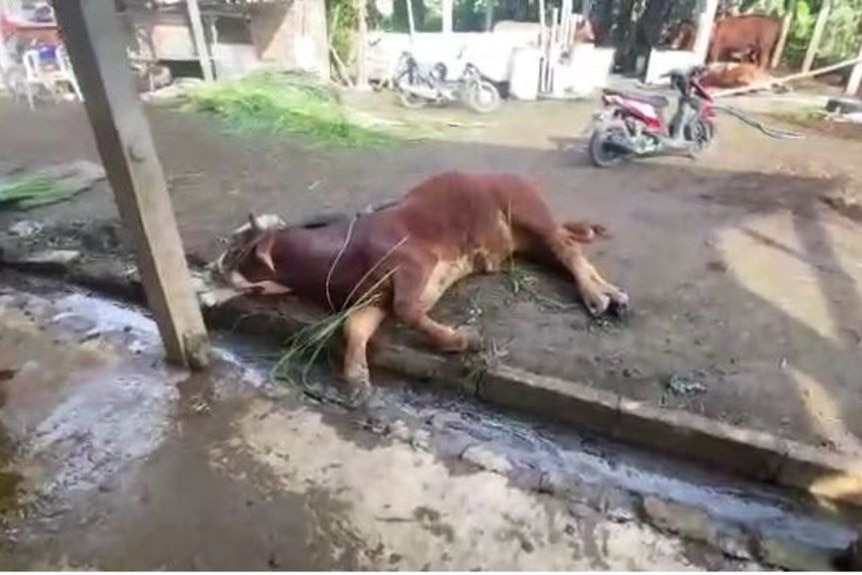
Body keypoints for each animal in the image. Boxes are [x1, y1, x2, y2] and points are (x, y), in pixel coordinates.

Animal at [218, 171, 628, 404]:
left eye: (240, 249)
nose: (215, 264)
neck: (333, 261)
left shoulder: (413, 264)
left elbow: (407, 310)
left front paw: (467, 340)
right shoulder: (372, 298)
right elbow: (354, 326)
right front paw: (358, 380)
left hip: (527, 208)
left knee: (567, 249)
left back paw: (601, 299)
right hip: (525, 239)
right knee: (564, 249)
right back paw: (611, 297)